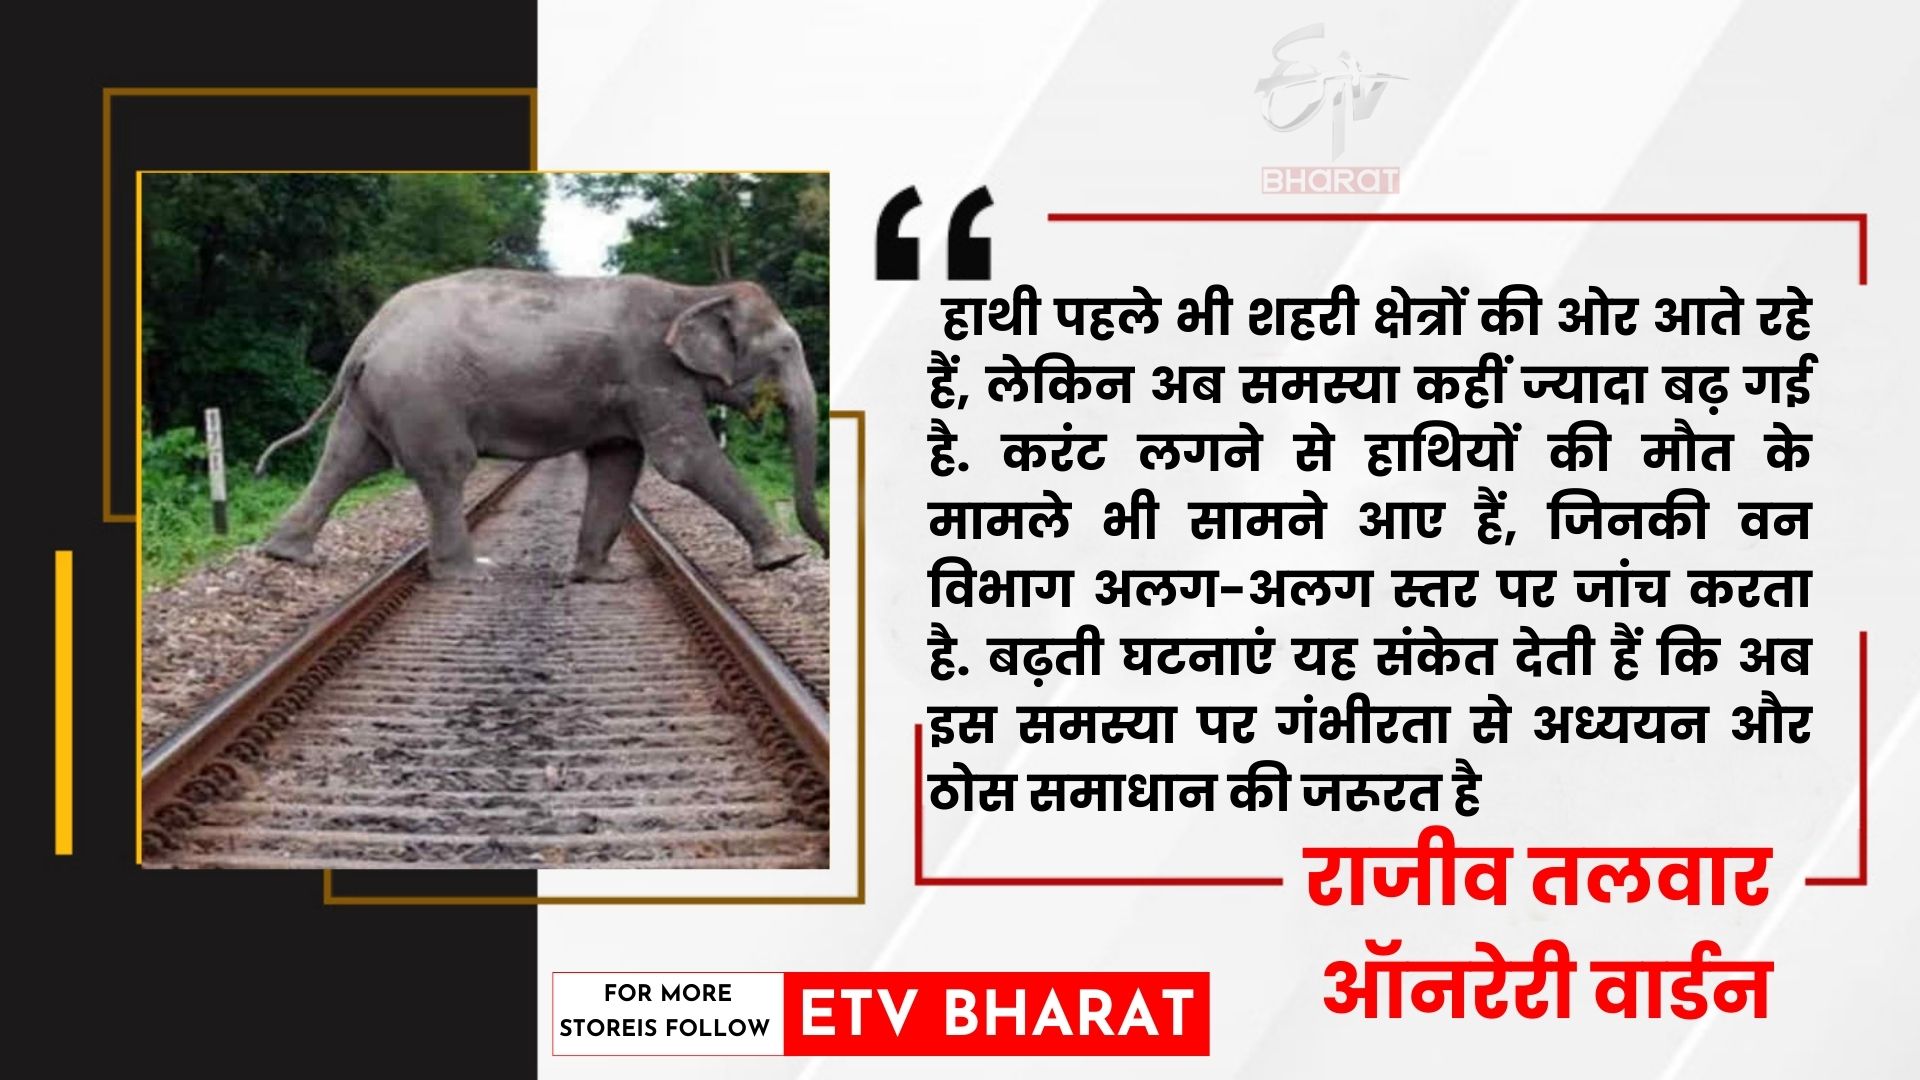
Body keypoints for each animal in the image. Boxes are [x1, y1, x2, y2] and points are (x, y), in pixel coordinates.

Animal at [252, 269, 828, 581]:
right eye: (785, 349)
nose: (823, 548)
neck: (694, 293)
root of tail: (369, 336)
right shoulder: (650, 372)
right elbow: (685, 461)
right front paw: (782, 559)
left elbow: (618, 462)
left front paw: (599, 576)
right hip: (422, 393)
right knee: (445, 468)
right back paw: (471, 573)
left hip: (376, 395)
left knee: (347, 459)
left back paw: (286, 555)